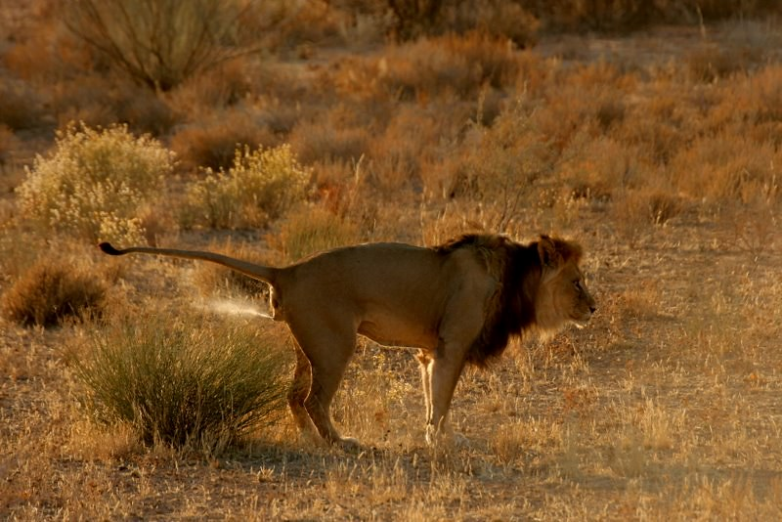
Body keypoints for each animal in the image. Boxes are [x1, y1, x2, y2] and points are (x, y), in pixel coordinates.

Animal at [99, 234, 600, 444]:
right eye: (577, 282)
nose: (594, 307)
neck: (513, 277)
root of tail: (288, 269)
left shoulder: (428, 352)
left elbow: (430, 397)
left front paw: (433, 434)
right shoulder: (452, 345)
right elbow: (441, 400)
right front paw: (441, 442)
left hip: (309, 347)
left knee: (293, 397)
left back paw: (309, 439)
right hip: (337, 345)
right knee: (314, 400)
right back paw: (341, 441)